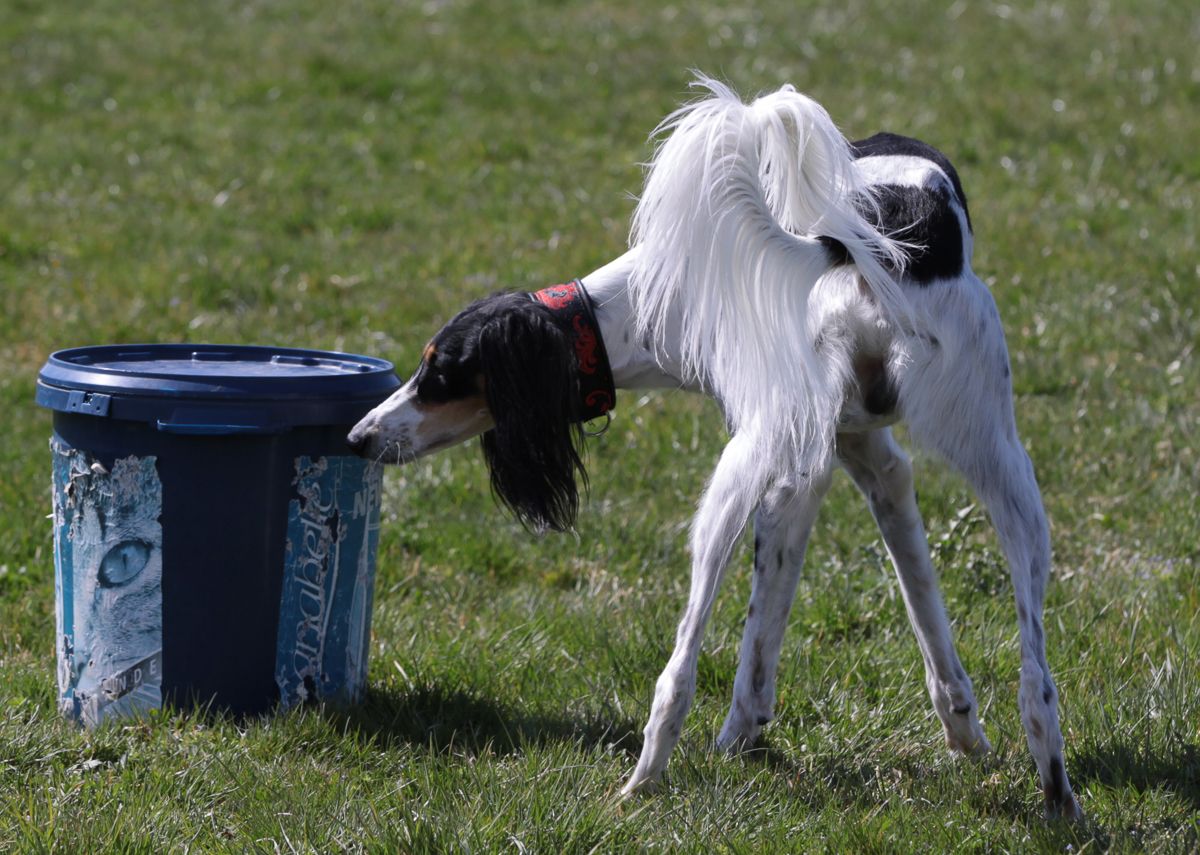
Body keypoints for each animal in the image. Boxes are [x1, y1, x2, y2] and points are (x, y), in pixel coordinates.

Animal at [347, 77, 1081, 819]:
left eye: (438, 374)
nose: (359, 436)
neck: (647, 304)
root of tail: (877, 236)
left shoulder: (795, 473)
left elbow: (758, 646)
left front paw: (740, 738)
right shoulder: (870, 457)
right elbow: (922, 597)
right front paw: (962, 726)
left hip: (741, 479)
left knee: (679, 663)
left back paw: (643, 779)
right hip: (1002, 469)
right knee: (1038, 676)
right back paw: (1057, 792)